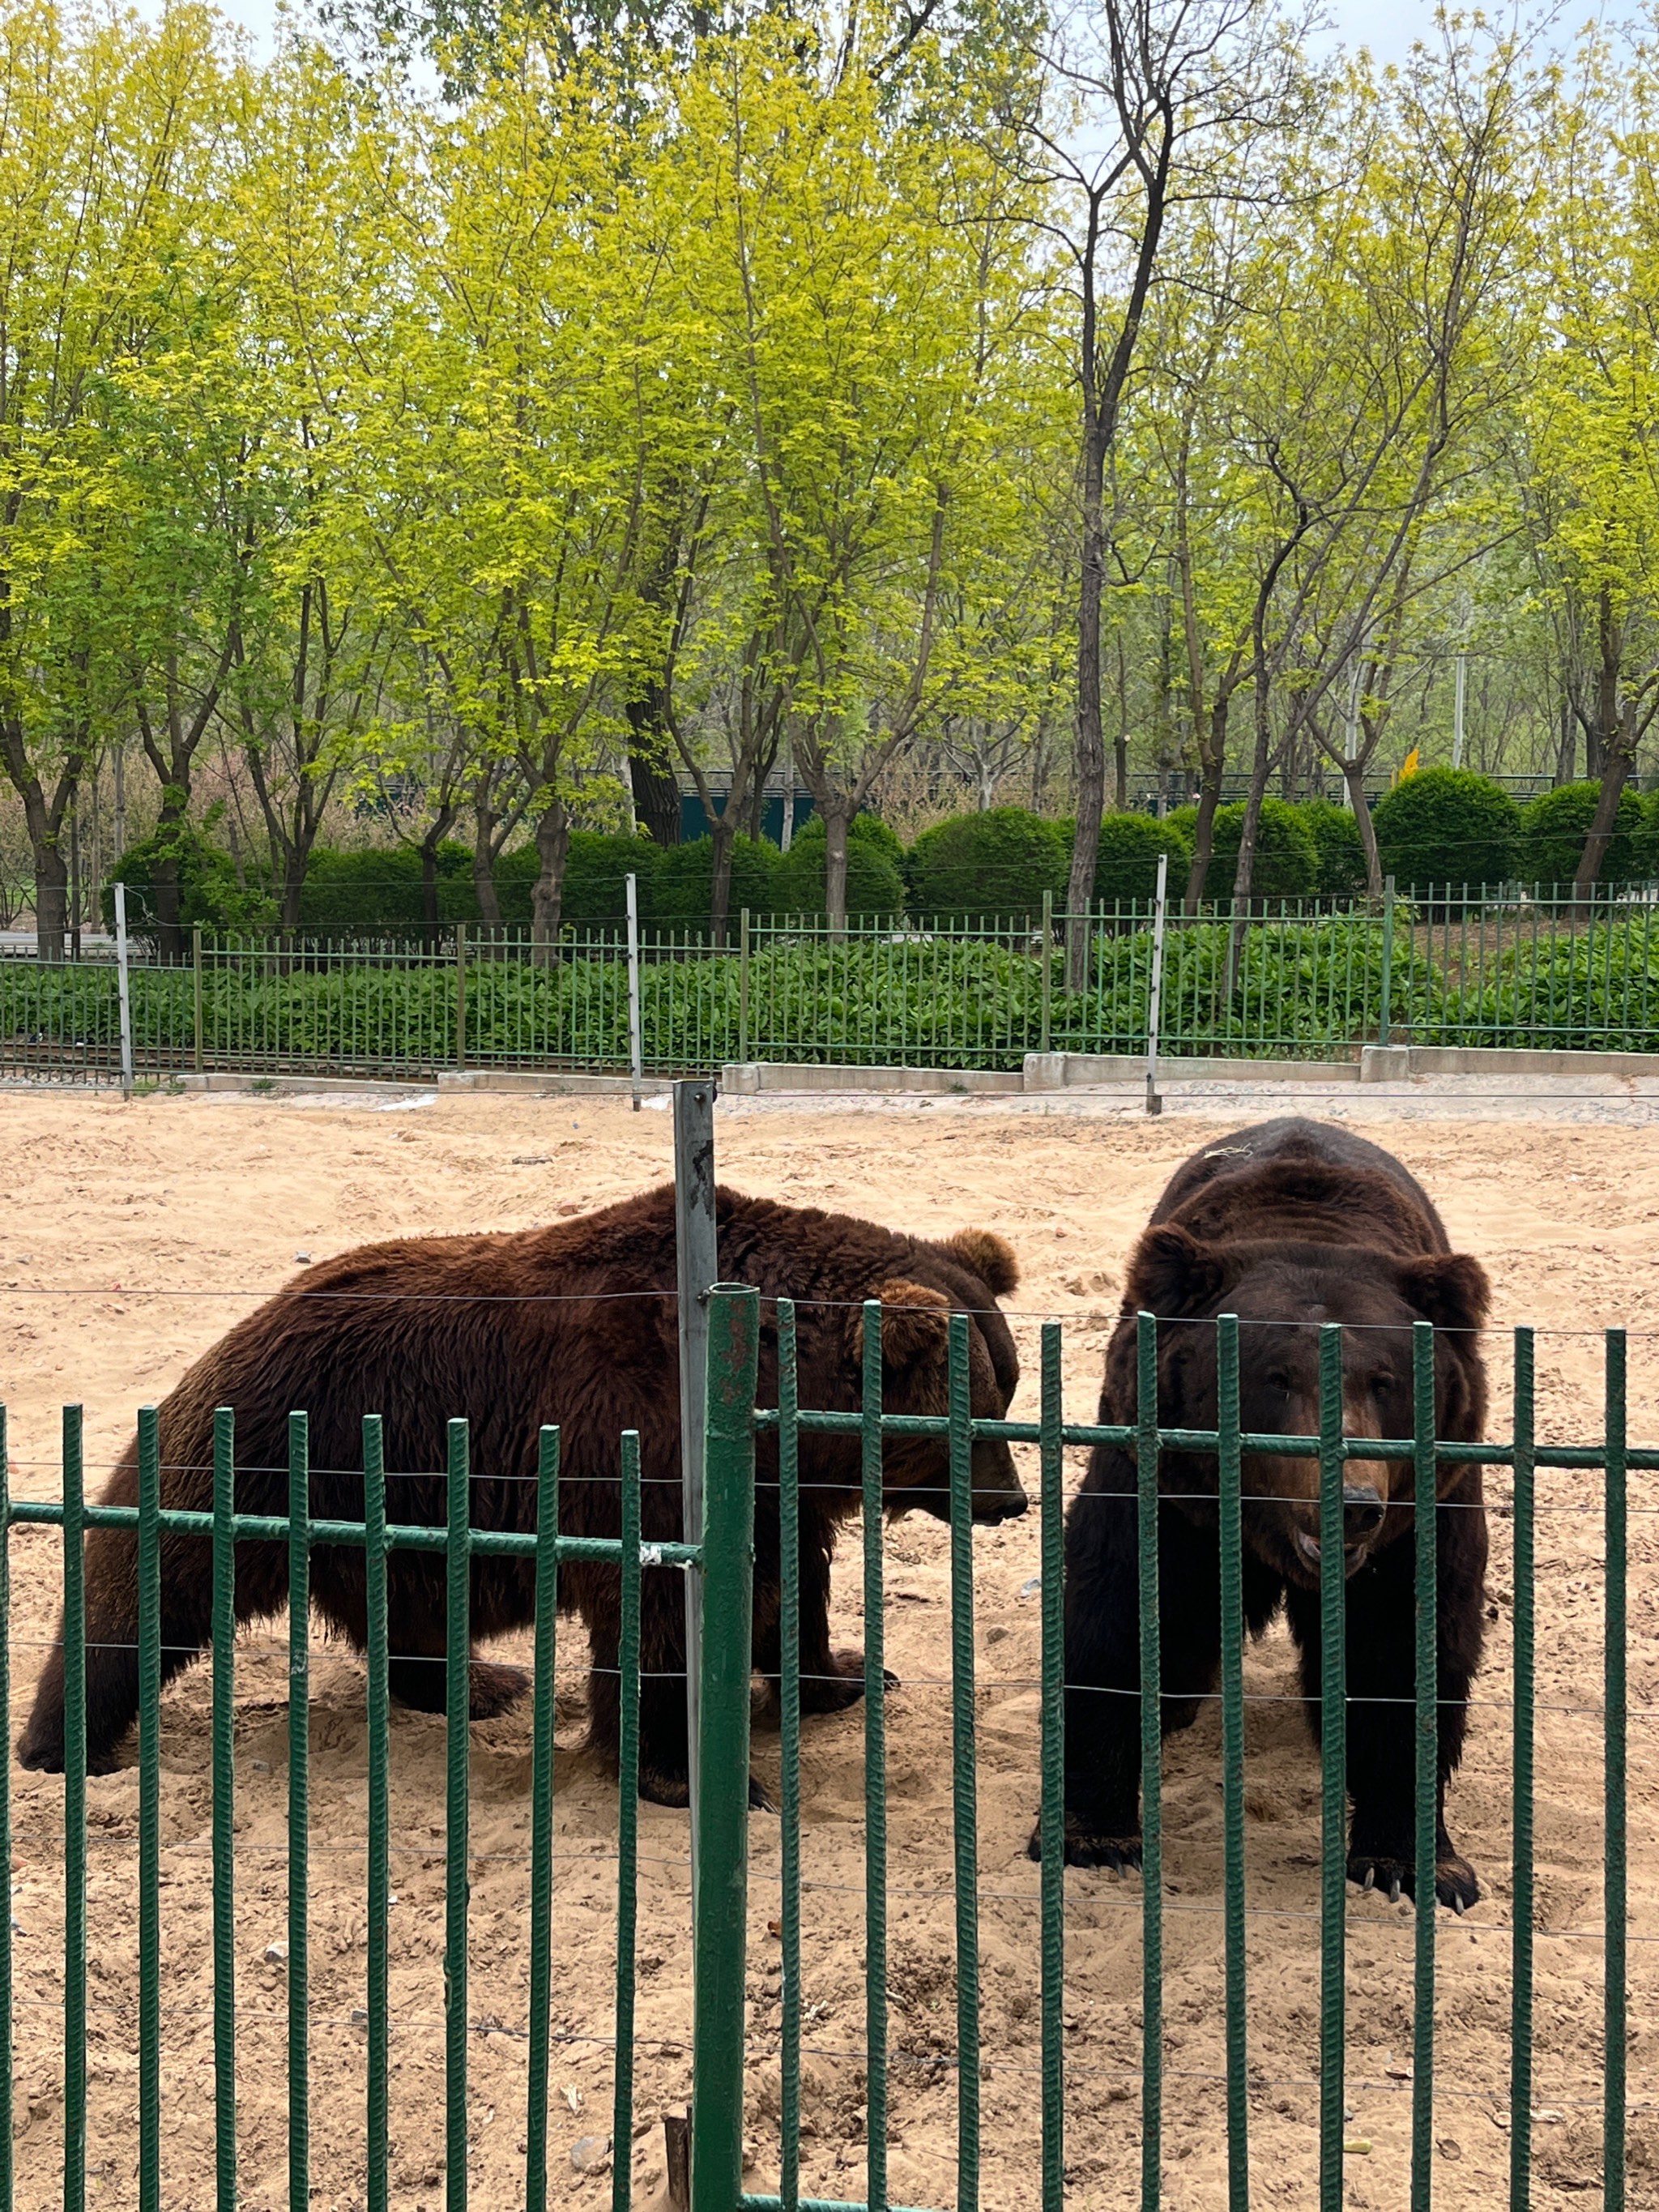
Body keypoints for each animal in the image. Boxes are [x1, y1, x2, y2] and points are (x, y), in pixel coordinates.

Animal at [19, 1194, 1026, 1796]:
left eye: (1006, 1390)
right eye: (972, 1415)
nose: (1009, 1503)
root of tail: (254, 1313)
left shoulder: (777, 1483)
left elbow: (791, 1583)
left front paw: (844, 1673)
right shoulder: (633, 1442)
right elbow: (658, 1612)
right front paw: (684, 1773)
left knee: (406, 1608)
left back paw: (477, 1686)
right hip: (270, 1446)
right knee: (147, 1580)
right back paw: (68, 1741)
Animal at [1039, 1114, 1495, 1911]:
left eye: (1385, 1379)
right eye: (1275, 1378)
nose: (1352, 1504)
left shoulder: (1422, 1511)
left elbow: (1406, 1650)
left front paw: (1411, 1864)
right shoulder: (1168, 1482)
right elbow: (1119, 1607)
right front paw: (1091, 1835)